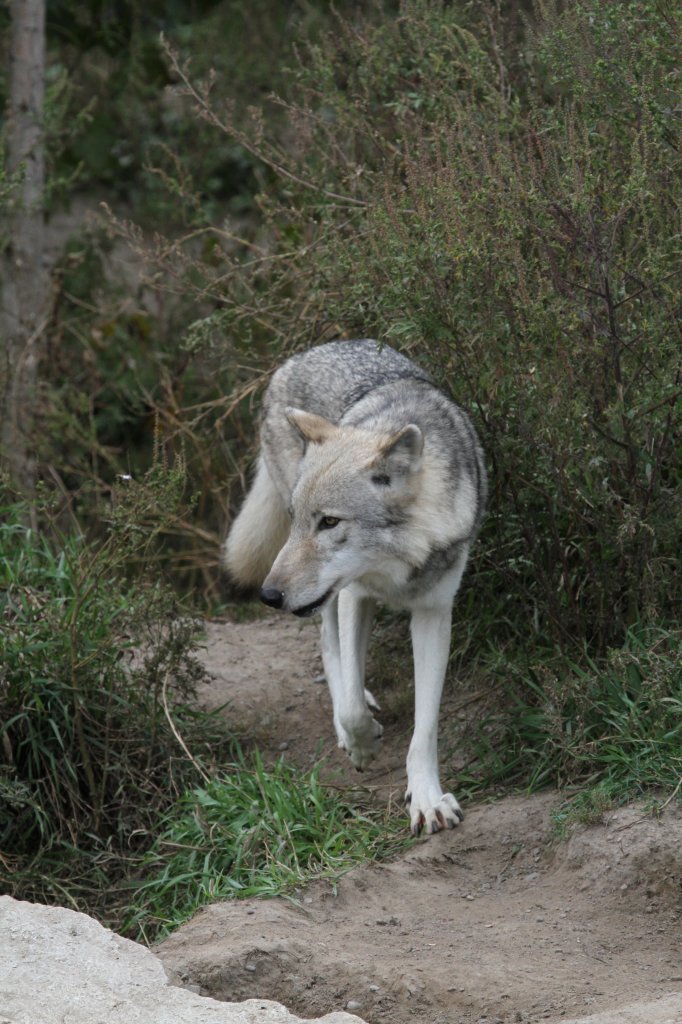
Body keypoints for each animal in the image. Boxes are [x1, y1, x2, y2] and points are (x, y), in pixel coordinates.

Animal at [225, 339, 485, 835]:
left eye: (329, 522)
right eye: (300, 519)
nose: (268, 596)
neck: (395, 567)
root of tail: (304, 353)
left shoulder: (434, 612)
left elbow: (425, 726)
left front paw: (427, 798)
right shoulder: (354, 595)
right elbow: (348, 700)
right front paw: (360, 743)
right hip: (324, 596)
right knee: (331, 651)